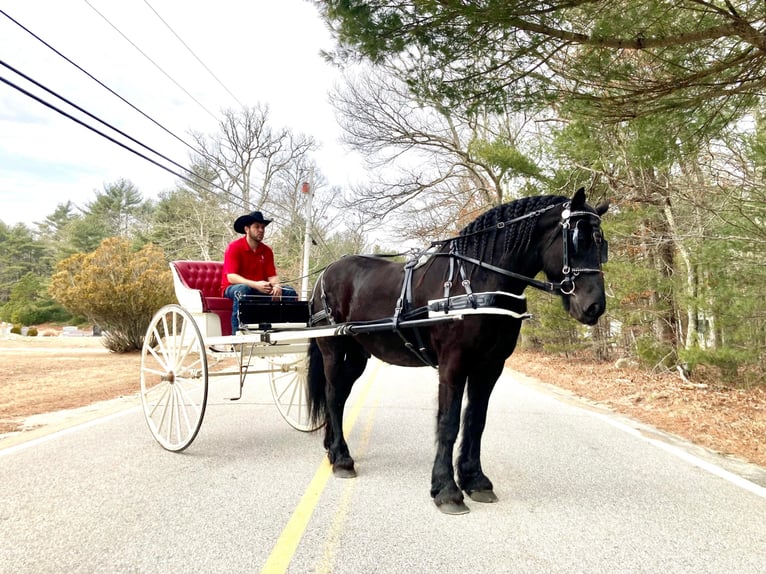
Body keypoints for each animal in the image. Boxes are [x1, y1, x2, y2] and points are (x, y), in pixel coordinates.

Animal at [306, 190, 612, 516]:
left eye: (601, 244)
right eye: (578, 239)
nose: (594, 306)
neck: (477, 283)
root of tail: (324, 275)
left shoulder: (490, 367)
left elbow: (476, 420)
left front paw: (475, 480)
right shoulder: (453, 364)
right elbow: (448, 422)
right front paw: (446, 490)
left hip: (357, 355)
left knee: (336, 396)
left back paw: (332, 449)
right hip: (333, 350)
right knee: (333, 395)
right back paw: (342, 459)